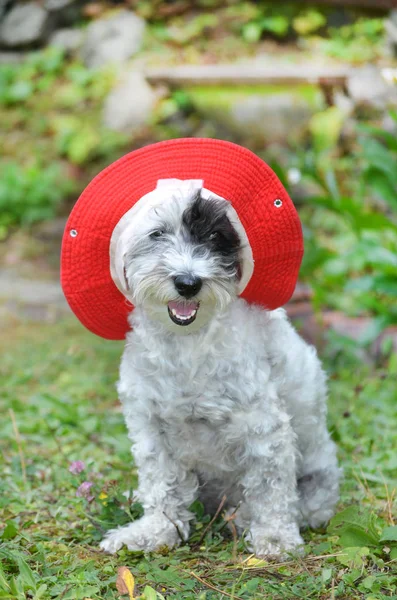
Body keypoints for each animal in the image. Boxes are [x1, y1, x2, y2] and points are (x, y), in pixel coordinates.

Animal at [100, 188, 338, 556]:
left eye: (215, 236)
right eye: (157, 233)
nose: (188, 283)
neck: (187, 345)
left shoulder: (264, 427)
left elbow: (270, 487)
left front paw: (275, 538)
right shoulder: (150, 427)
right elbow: (162, 484)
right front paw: (155, 531)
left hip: (316, 481)